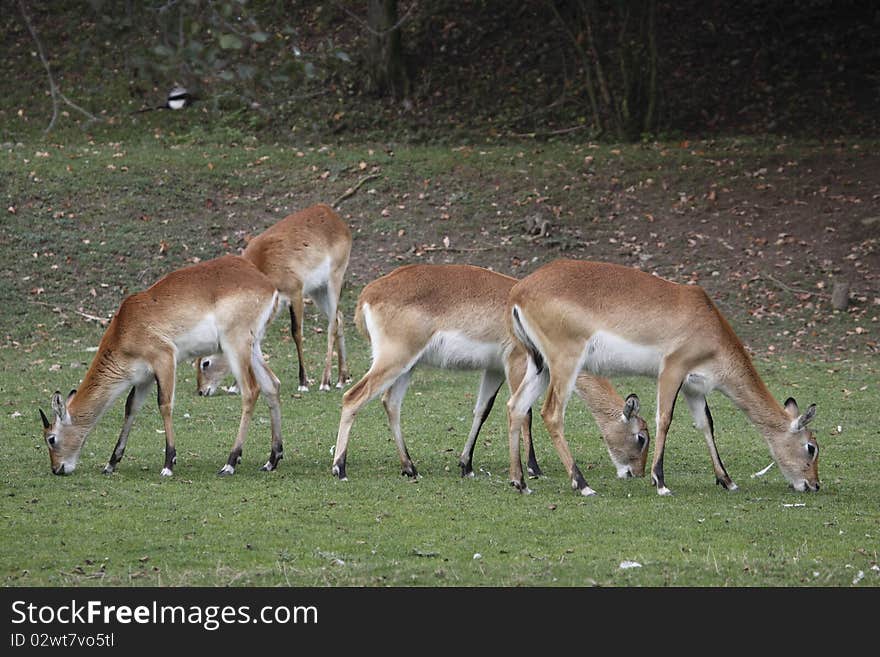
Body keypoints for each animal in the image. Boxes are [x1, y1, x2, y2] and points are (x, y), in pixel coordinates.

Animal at [40, 256, 282, 476]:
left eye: (51, 438)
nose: (56, 469)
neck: (124, 330)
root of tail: (267, 284)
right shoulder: (144, 377)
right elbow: (131, 407)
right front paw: (111, 464)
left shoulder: (164, 358)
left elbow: (164, 404)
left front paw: (168, 464)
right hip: (252, 347)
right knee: (272, 385)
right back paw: (272, 460)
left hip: (235, 345)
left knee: (250, 390)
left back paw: (230, 463)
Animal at [198, 202, 352, 392]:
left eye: (205, 362)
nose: (201, 391)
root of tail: (332, 215)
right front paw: (235, 386)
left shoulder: (296, 293)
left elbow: (296, 333)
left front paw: (303, 382)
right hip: (318, 290)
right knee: (339, 317)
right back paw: (342, 379)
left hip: (334, 279)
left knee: (331, 325)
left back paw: (325, 381)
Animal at [326, 264, 648, 480]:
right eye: (641, 436)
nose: (638, 472)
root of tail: (368, 294)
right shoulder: (517, 362)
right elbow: (525, 412)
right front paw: (532, 468)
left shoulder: (494, 369)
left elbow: (483, 410)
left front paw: (466, 464)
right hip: (393, 359)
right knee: (353, 397)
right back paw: (340, 467)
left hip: (408, 365)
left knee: (390, 403)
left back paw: (410, 467)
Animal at [506, 258, 820, 494]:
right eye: (811, 447)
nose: (814, 484)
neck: (710, 325)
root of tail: (519, 291)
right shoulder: (672, 370)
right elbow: (665, 419)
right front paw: (660, 481)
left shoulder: (695, 387)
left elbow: (706, 424)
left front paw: (727, 480)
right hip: (564, 364)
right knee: (551, 413)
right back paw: (582, 484)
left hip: (540, 366)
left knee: (516, 406)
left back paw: (520, 482)